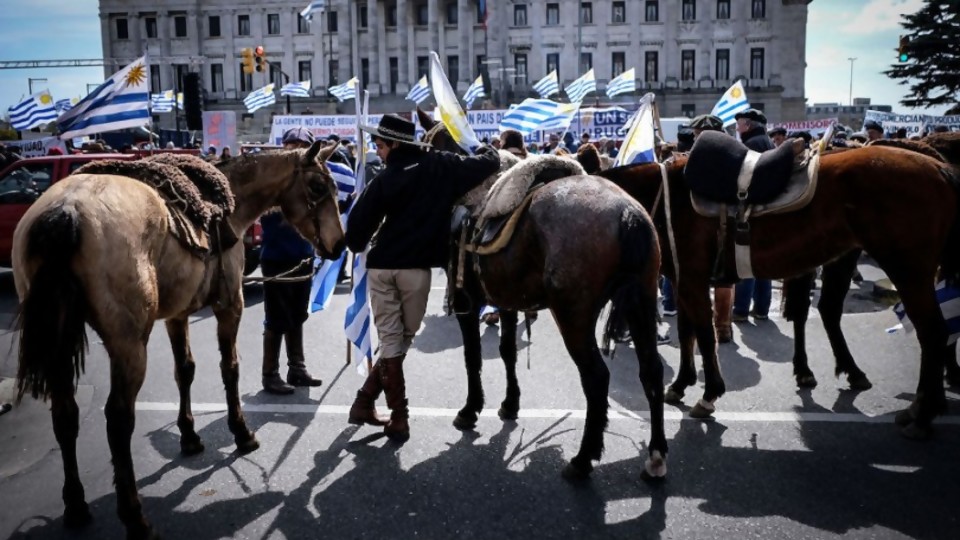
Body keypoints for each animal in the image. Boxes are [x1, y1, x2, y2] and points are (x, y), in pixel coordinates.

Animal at [12, 142, 344, 540]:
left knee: (66, 414)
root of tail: (66, 211)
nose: (340, 244)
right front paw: (241, 432)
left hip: (60, 340)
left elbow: (185, 370)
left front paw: (189, 436)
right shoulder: (229, 304)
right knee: (117, 419)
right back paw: (134, 517)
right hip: (128, 345)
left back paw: (76, 505)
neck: (231, 203)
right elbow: (230, 369)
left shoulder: (177, 314)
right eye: (318, 187)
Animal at [420, 116, 668, 478]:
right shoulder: (506, 300)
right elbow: (507, 351)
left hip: (574, 317)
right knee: (651, 370)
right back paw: (656, 454)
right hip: (642, 301)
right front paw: (510, 404)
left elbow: (472, 357)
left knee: (596, 378)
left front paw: (471, 409)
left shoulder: (468, 303)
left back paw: (583, 459)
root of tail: (627, 214)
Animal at [600, 143, 960, 438]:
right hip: (847, 258)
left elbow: (703, 333)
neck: (662, 196)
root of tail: (939, 168)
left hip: (908, 270)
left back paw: (922, 413)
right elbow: (687, 331)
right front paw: (680, 384)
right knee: (836, 311)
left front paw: (709, 393)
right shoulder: (683, 279)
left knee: (933, 332)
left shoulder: (691, 279)